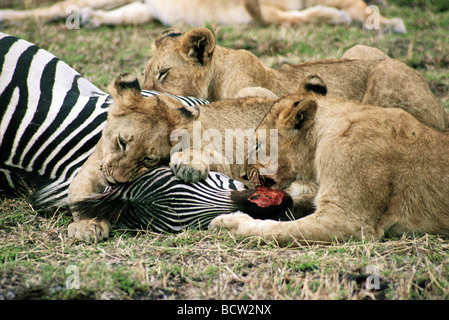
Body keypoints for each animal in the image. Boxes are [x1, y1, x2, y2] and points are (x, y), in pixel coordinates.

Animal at [144, 28, 444, 131]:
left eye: (163, 73)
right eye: (144, 74)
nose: (145, 92)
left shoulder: (262, 93)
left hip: (387, 70)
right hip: (360, 49)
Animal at [210, 75, 448, 245]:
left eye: (257, 145)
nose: (242, 174)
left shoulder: (348, 220)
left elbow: (281, 230)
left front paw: (229, 223)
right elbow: (297, 201)